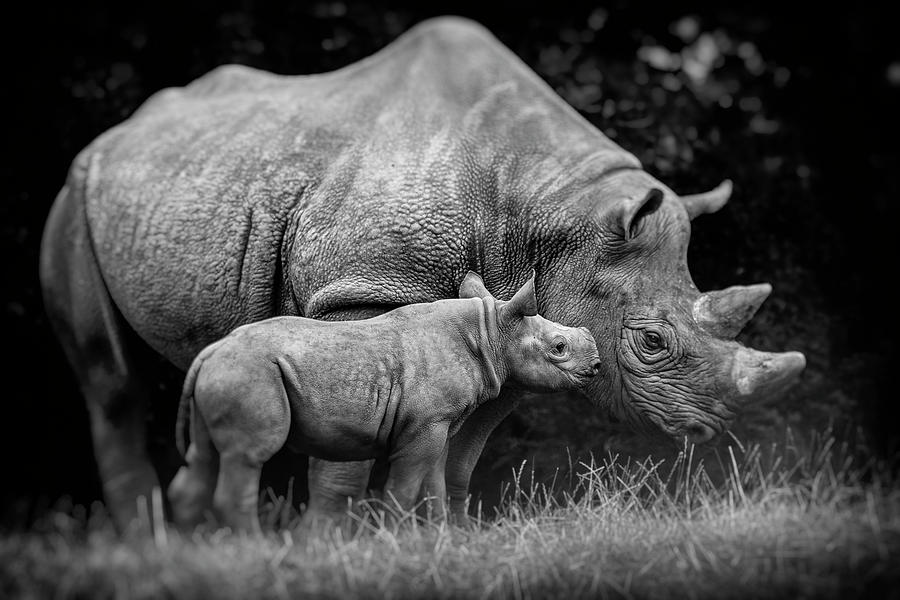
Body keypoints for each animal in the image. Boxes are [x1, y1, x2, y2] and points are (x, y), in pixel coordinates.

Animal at [169, 274, 604, 532]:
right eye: (559, 348)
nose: (598, 365)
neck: (490, 332)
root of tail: (208, 355)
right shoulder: (425, 425)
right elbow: (405, 485)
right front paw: (395, 538)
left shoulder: (439, 423)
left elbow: (434, 482)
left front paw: (439, 539)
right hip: (251, 374)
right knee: (249, 456)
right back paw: (253, 549)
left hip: (230, 372)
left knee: (204, 454)